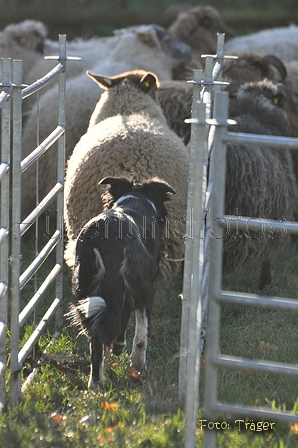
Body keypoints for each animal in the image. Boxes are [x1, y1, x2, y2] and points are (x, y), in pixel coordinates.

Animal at [67, 175, 175, 388]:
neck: (136, 201)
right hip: (133, 285)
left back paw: (95, 384)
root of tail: (104, 237)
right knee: (124, 317)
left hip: (85, 290)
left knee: (95, 339)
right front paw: (137, 362)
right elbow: (141, 333)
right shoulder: (149, 287)